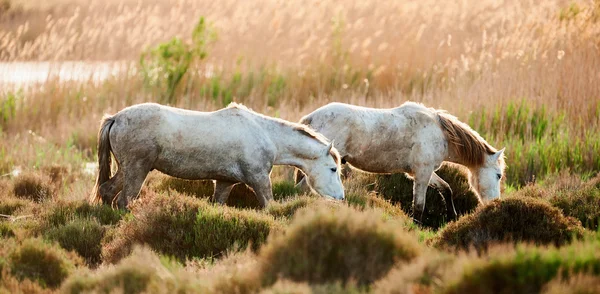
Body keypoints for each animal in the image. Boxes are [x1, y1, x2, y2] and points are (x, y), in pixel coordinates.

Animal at [91, 102, 344, 208]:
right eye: (333, 169)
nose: (341, 197)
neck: (265, 135)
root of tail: (115, 118)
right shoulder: (259, 179)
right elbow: (270, 205)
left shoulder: (225, 182)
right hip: (136, 170)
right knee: (124, 200)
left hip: (127, 169)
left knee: (107, 191)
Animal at [296, 102, 506, 222]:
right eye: (498, 175)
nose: (494, 202)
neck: (440, 132)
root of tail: (310, 118)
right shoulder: (422, 173)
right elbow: (419, 207)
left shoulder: (421, 172)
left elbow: (446, 189)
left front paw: (452, 216)